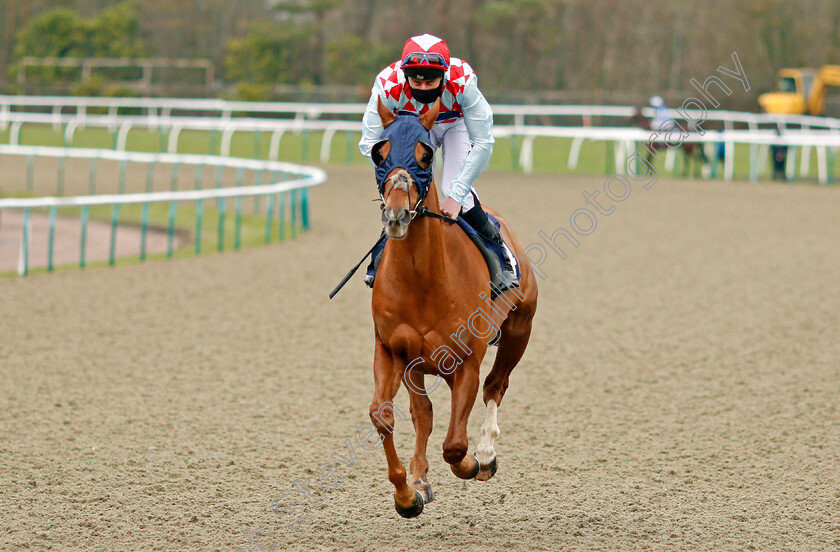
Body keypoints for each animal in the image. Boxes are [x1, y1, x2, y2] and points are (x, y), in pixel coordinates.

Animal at [368, 98, 540, 516]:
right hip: (418, 364)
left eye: (426, 155)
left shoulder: (466, 362)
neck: (423, 281)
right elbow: (386, 416)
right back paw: (420, 478)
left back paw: (486, 453)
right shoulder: (393, 350)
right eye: (379, 152)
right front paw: (408, 492)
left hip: (519, 329)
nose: (396, 214)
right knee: (424, 414)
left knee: (496, 385)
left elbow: (455, 446)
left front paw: (475, 462)